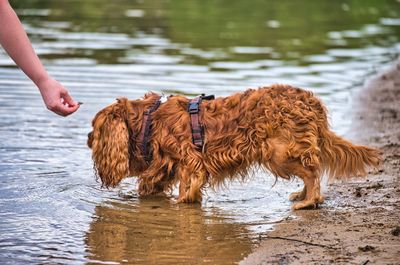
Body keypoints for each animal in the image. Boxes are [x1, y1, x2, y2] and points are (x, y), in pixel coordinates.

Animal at [86, 84, 380, 208]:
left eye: (94, 129)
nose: (87, 138)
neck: (150, 118)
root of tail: (311, 102)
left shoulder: (191, 163)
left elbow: (186, 188)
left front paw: (182, 203)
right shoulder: (165, 165)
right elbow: (153, 182)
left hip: (279, 154)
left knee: (312, 172)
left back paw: (309, 201)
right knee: (310, 172)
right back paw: (301, 196)